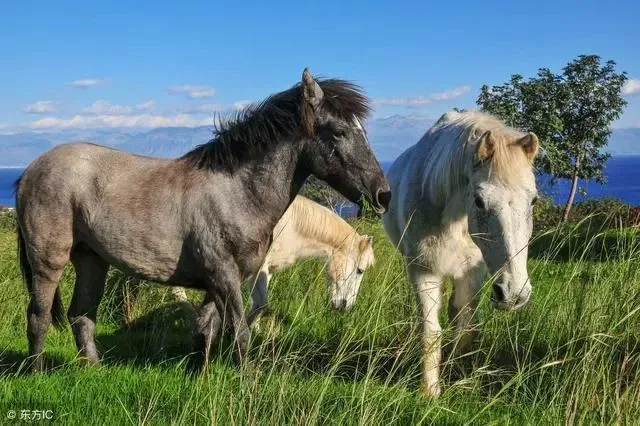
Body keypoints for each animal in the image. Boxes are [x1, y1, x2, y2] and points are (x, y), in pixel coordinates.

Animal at [172, 195, 378, 324]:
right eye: (360, 270)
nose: (346, 306)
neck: (291, 225)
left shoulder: (266, 270)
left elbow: (258, 304)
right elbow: (259, 303)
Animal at [384, 110, 540, 396]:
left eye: (533, 200)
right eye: (479, 201)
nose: (514, 294)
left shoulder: (471, 274)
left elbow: (465, 327)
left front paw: (458, 378)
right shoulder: (424, 272)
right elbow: (431, 332)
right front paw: (430, 391)